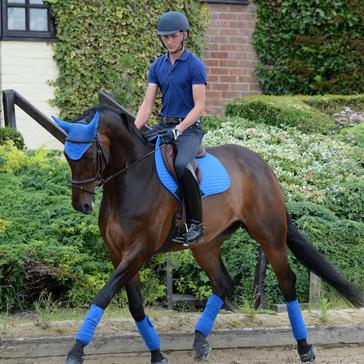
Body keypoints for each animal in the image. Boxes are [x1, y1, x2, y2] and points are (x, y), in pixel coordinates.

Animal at [52, 105, 362, 364]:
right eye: (67, 155)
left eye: (88, 155)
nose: (81, 205)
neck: (131, 180)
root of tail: (261, 163)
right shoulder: (118, 253)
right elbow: (136, 306)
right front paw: (157, 354)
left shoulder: (139, 250)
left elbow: (103, 295)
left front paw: (76, 351)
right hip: (206, 245)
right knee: (222, 282)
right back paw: (200, 341)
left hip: (270, 236)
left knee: (287, 282)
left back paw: (304, 347)